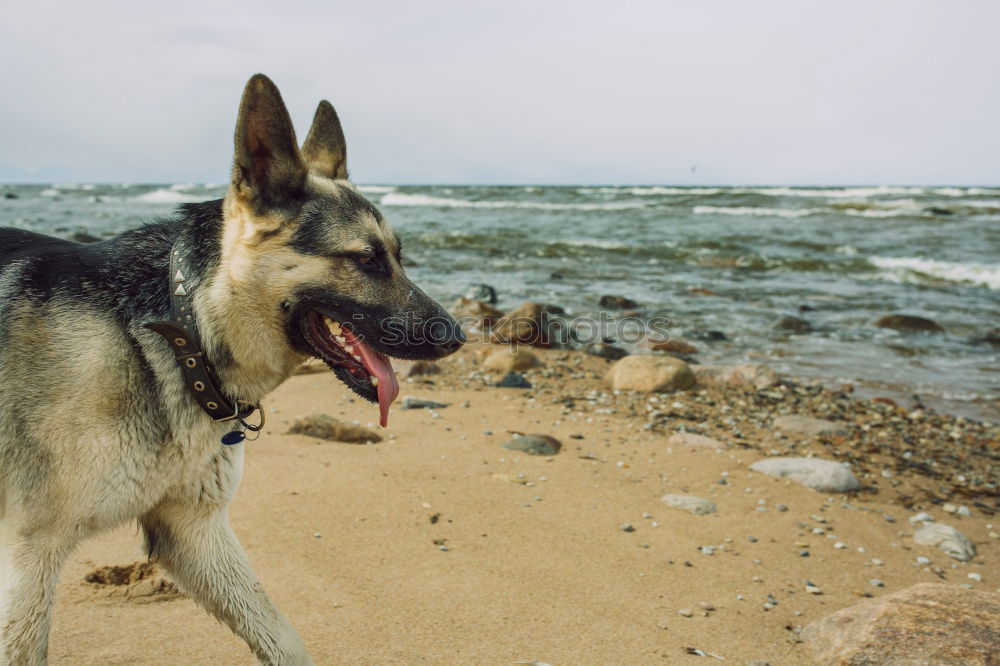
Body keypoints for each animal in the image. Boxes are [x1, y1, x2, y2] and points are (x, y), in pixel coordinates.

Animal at [0, 75, 464, 660]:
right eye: (365, 259)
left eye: (398, 256)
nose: (458, 337)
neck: (180, 336)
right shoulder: (30, 555)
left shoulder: (193, 532)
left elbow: (284, 639)